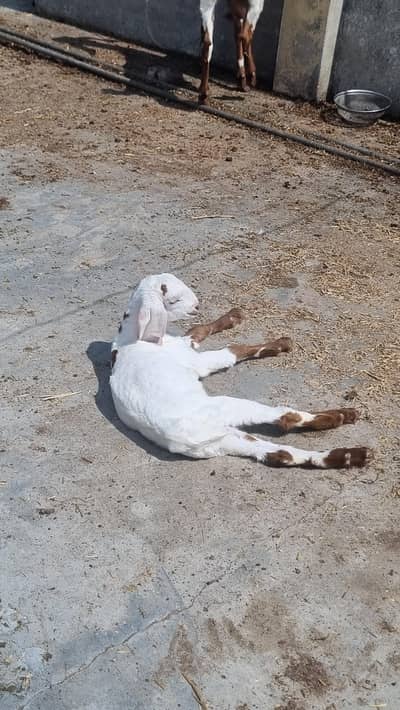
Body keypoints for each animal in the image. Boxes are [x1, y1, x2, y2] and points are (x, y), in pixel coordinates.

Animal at [110, 274, 372, 469]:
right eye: (173, 299)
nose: (197, 306)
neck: (131, 338)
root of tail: (186, 438)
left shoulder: (186, 345)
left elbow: (199, 329)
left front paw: (233, 317)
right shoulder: (195, 360)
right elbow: (233, 349)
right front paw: (281, 343)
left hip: (227, 441)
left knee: (281, 454)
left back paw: (349, 455)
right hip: (228, 408)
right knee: (285, 417)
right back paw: (340, 417)